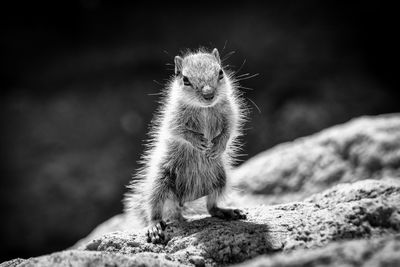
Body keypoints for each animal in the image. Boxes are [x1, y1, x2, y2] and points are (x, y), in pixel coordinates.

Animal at [123, 47, 247, 244]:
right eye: (185, 80)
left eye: (220, 72)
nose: (209, 95)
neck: (204, 109)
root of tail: (182, 201)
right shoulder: (173, 118)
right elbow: (180, 132)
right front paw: (197, 141)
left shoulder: (231, 112)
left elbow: (230, 128)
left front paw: (218, 146)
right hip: (159, 180)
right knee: (153, 206)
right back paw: (154, 226)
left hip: (221, 179)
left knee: (211, 206)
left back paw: (227, 211)